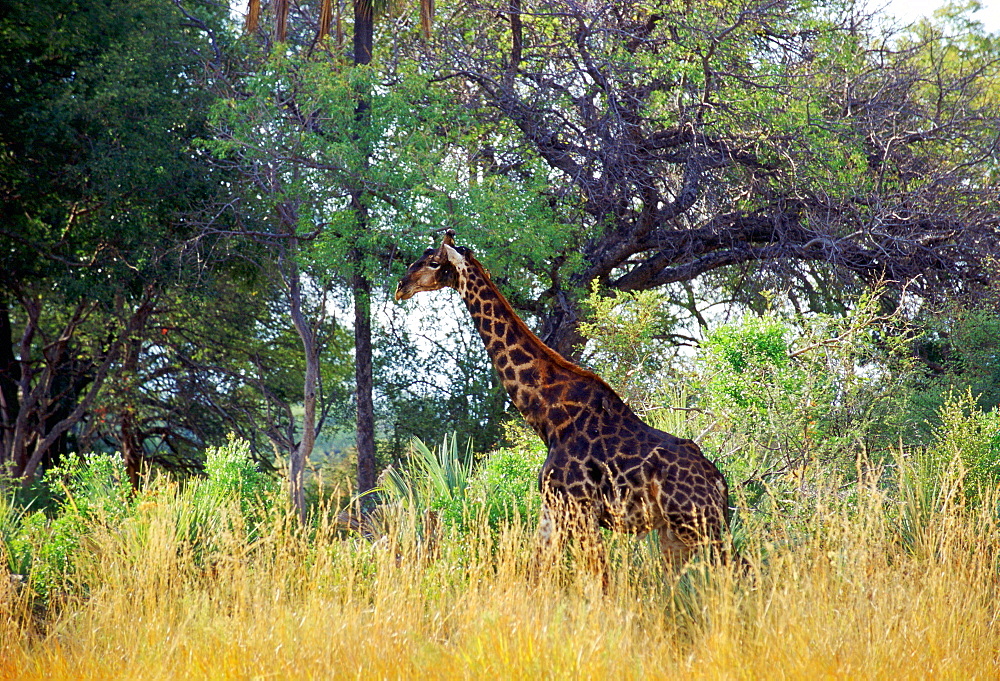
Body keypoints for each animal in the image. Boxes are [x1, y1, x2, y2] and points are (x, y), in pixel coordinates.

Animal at [394, 228, 732, 568]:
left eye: (434, 262)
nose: (400, 287)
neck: (548, 413)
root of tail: (720, 483)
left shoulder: (578, 507)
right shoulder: (553, 508)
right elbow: (538, 568)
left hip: (697, 525)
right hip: (674, 533)